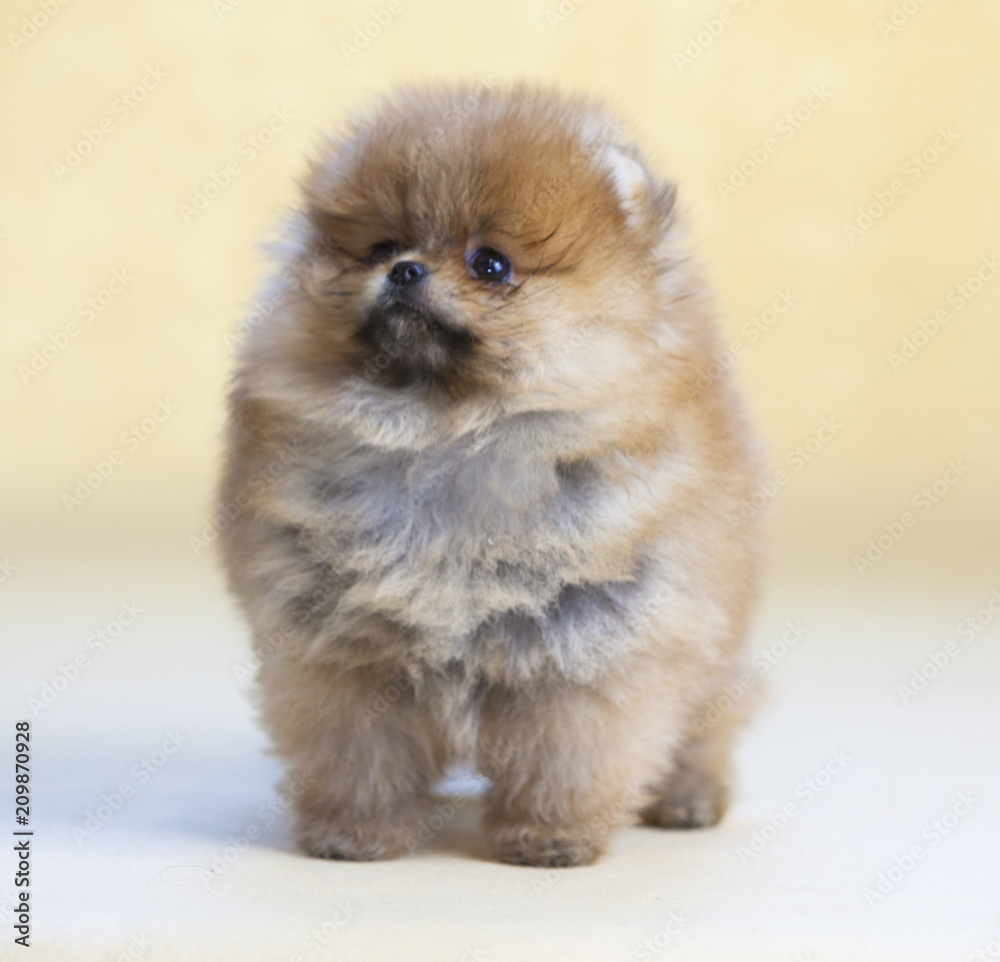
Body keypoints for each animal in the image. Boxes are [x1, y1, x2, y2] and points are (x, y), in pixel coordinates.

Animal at [221, 82, 764, 868]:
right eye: (382, 247)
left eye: (491, 265)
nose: (405, 271)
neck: (445, 433)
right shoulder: (344, 655)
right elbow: (359, 756)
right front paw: (355, 834)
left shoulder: (586, 652)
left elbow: (567, 757)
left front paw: (550, 837)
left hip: (708, 644)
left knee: (709, 718)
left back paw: (687, 797)